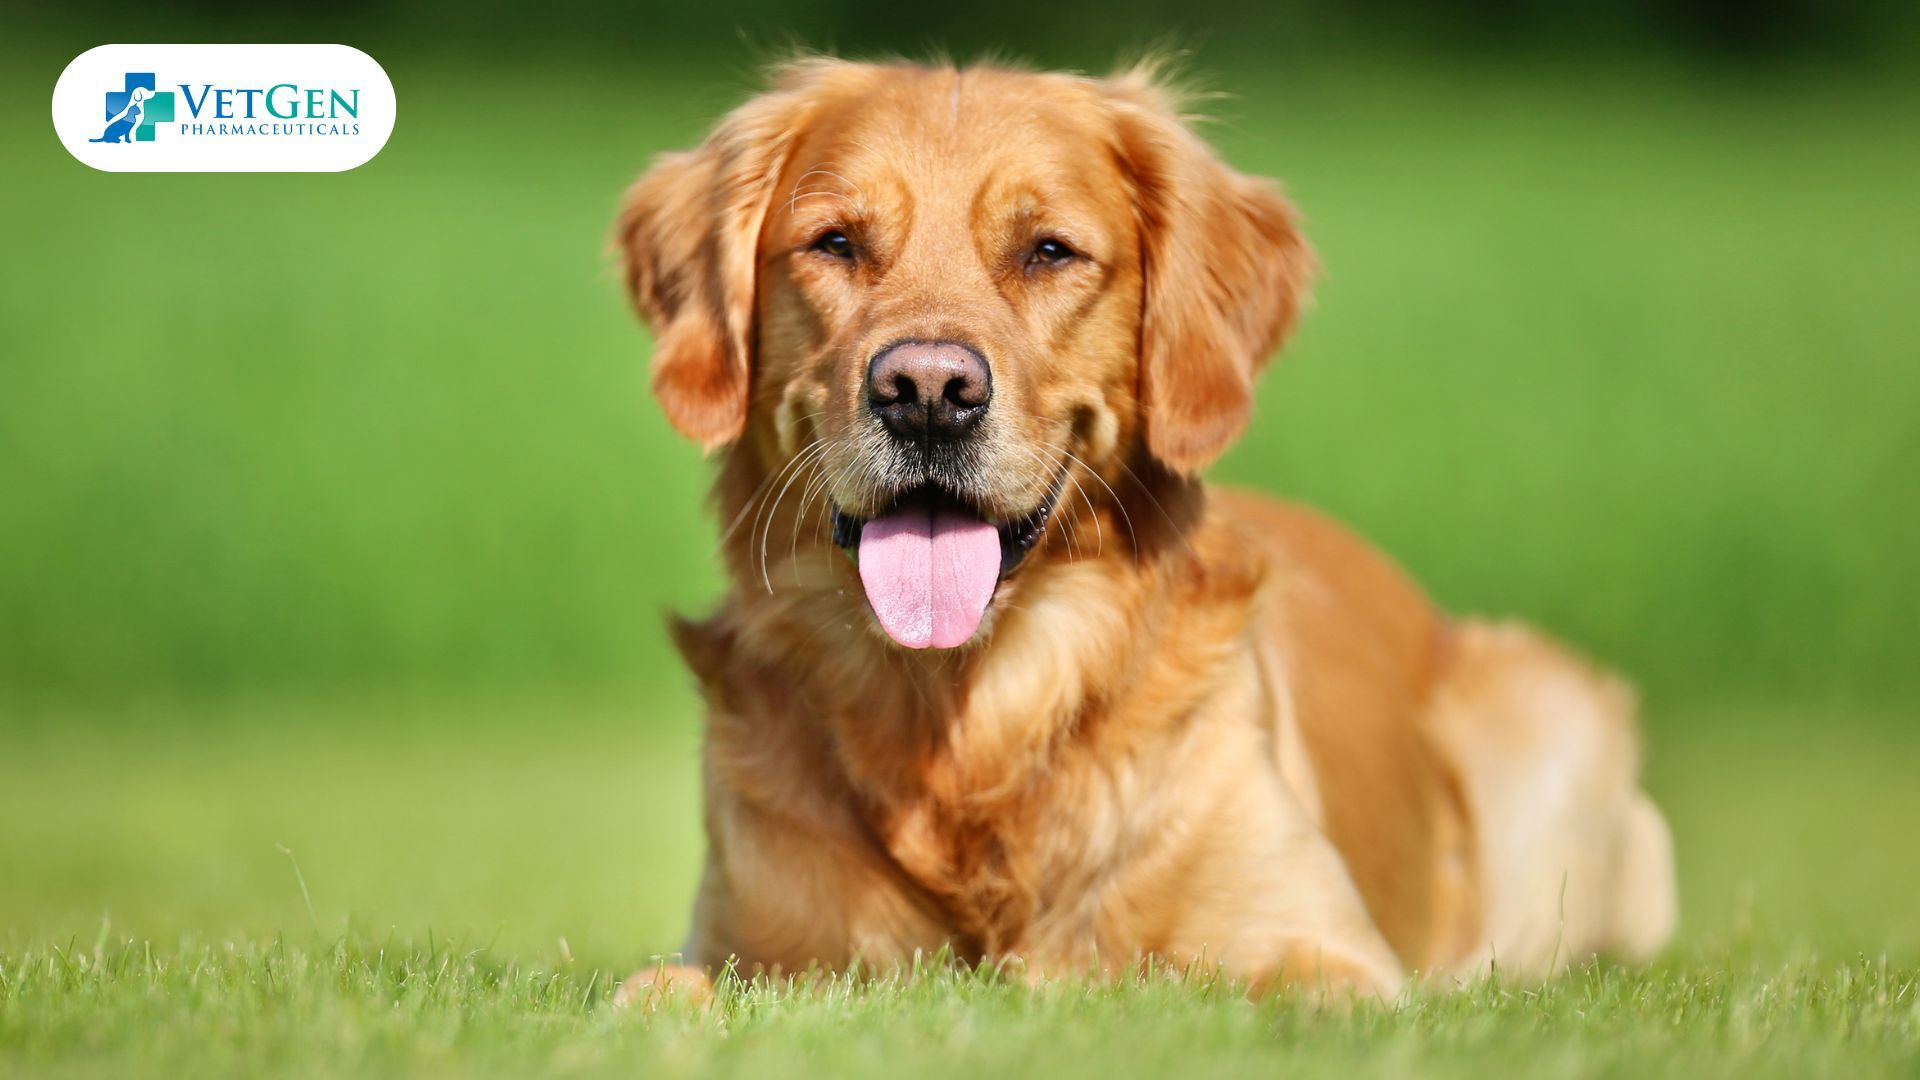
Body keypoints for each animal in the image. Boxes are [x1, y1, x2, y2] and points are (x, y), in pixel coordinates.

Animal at [606, 56, 1674, 999]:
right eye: (834, 243)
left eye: (1048, 250)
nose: (926, 394)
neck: (970, 722)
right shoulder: (746, 947)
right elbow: (661, 991)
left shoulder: (1324, 947)